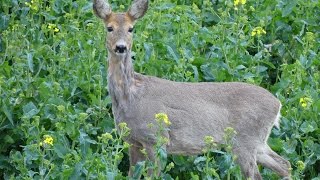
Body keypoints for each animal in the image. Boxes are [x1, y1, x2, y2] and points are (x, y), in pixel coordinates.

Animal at [92, 0, 290, 179]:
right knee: (285, 164)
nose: (121, 47)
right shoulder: (133, 141)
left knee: (257, 174)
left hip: (244, 141)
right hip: (258, 142)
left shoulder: (156, 138)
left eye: (131, 29)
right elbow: (132, 175)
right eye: (109, 28)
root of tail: (278, 104)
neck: (131, 95)